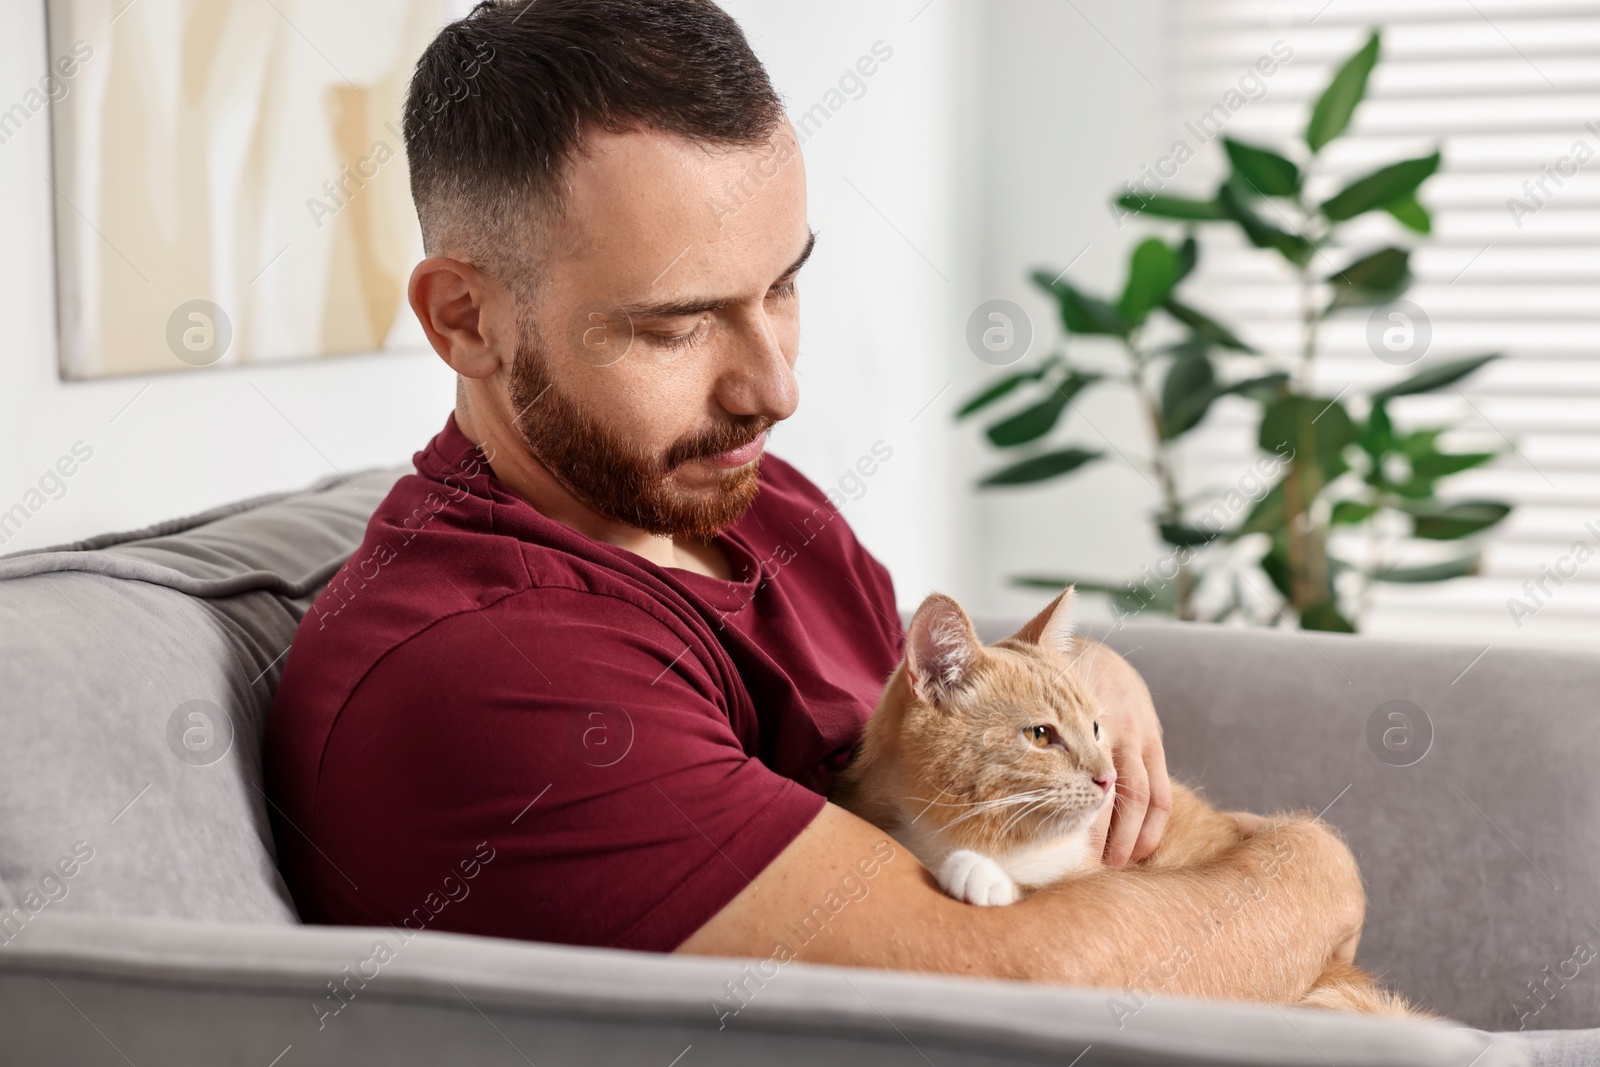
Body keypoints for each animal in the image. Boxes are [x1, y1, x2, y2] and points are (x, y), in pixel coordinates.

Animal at [832, 591, 1420, 1017]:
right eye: (1041, 735)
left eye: (1097, 728)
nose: (1110, 777)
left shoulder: (1092, 869)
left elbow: (1040, 882)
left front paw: (982, 873)